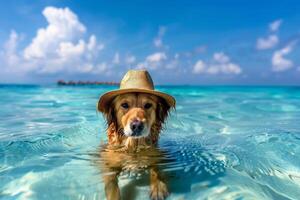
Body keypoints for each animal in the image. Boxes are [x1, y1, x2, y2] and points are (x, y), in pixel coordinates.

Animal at [96, 69, 176, 199]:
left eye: (148, 105)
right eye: (124, 105)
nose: (137, 125)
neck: (134, 145)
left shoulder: (155, 155)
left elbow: (156, 168)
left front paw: (158, 186)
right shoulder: (110, 164)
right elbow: (112, 185)